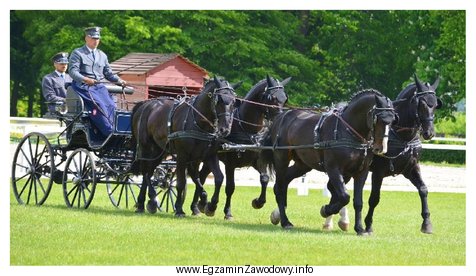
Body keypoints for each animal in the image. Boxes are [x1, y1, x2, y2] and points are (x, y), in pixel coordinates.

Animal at [130, 76, 240, 217]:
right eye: (218, 100)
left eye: (234, 102)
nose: (224, 130)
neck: (199, 122)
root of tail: (145, 104)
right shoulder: (182, 156)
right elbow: (181, 183)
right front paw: (179, 209)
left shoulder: (208, 155)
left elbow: (217, 178)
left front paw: (209, 205)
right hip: (146, 148)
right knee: (145, 172)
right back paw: (152, 200)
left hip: (160, 151)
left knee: (148, 172)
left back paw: (142, 204)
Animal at [197, 74, 290, 219]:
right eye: (271, 98)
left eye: (285, 99)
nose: (280, 119)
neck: (248, 129)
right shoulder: (230, 164)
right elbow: (230, 187)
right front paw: (227, 212)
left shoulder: (257, 161)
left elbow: (264, 179)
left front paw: (258, 202)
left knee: (202, 175)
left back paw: (198, 206)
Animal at [258, 89, 396, 234]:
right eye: (378, 118)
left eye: (393, 120)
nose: (381, 148)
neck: (348, 131)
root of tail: (280, 117)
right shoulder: (333, 169)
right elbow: (344, 196)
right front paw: (326, 210)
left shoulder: (361, 172)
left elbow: (357, 202)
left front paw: (359, 228)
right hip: (282, 159)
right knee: (279, 187)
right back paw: (285, 221)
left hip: (303, 164)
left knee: (285, 180)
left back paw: (278, 216)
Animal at [364, 74, 442, 234]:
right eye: (421, 104)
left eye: (436, 105)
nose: (429, 133)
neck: (402, 137)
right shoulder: (378, 171)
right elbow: (374, 198)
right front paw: (368, 225)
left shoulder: (411, 169)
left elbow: (423, 189)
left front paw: (427, 223)